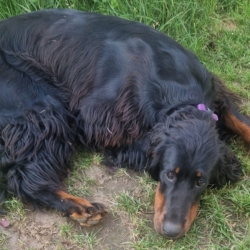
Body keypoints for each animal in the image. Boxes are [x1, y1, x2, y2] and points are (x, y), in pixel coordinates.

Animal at [0, 9, 248, 240]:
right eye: (169, 175)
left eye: (200, 182)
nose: (171, 231)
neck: (178, 87)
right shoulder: (96, 120)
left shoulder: (215, 91)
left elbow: (241, 122)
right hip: (43, 109)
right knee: (24, 180)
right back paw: (81, 207)